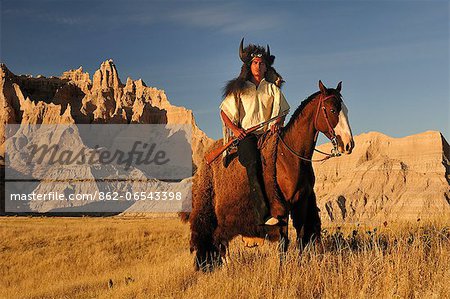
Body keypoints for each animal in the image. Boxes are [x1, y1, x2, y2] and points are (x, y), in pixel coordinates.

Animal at [187, 80, 356, 272]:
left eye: (345, 110)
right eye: (333, 110)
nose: (348, 144)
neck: (290, 157)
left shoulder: (301, 203)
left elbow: (301, 237)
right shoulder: (281, 208)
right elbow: (284, 242)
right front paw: (282, 270)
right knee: (220, 240)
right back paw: (226, 267)